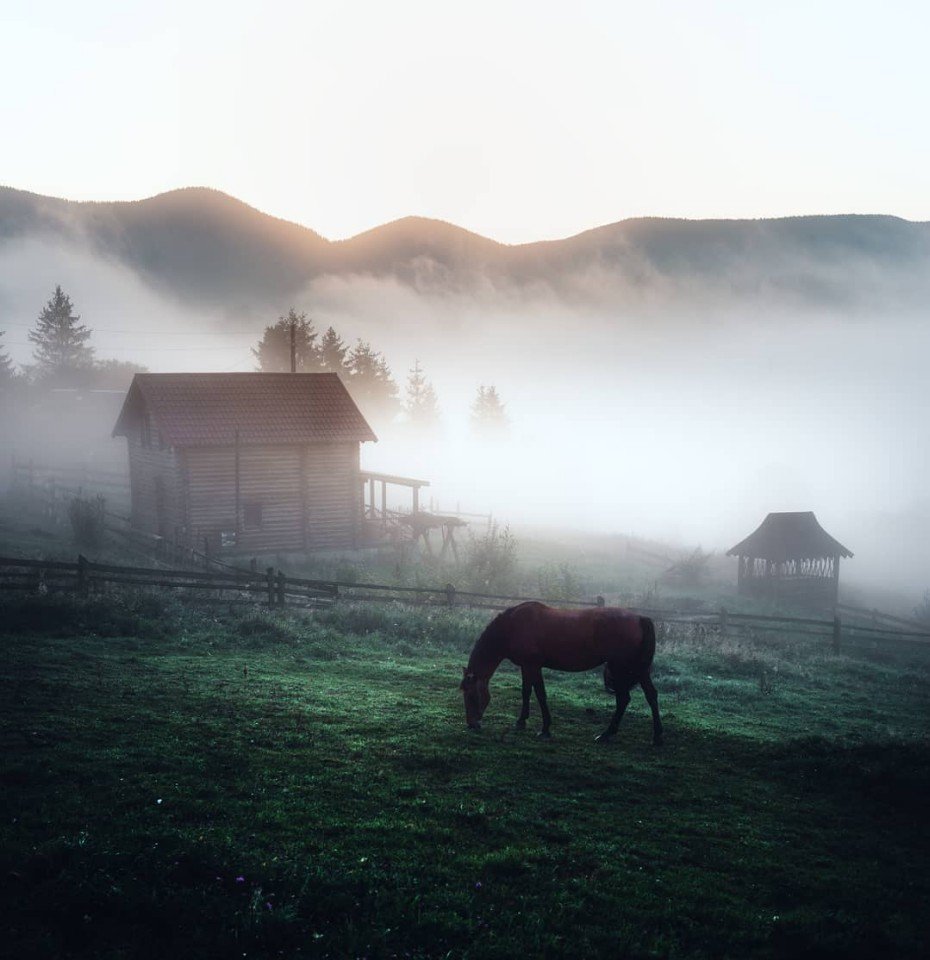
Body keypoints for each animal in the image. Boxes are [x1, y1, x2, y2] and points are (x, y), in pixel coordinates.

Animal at [456, 600, 660, 744]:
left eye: (471, 695)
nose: (471, 724)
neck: (512, 626)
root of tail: (639, 618)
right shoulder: (527, 666)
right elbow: (526, 691)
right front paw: (521, 722)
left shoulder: (532, 665)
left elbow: (539, 694)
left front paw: (545, 729)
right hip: (638, 669)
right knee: (650, 695)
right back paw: (657, 737)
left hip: (621, 667)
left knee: (623, 699)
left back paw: (606, 734)